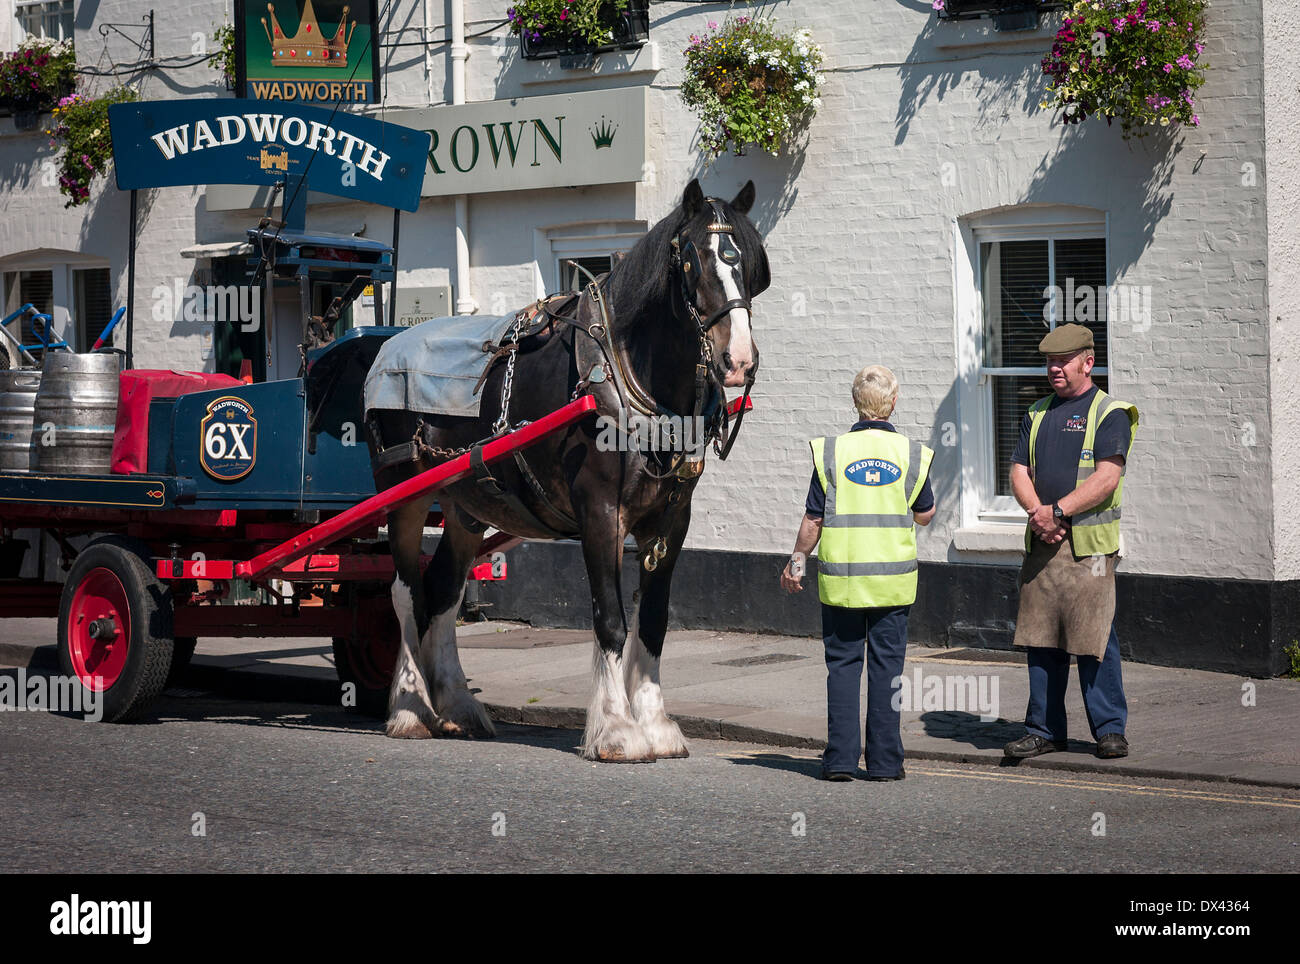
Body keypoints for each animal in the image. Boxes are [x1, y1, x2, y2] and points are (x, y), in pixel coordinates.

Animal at [366, 181, 764, 763]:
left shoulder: (672, 520)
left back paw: (457, 706)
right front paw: (616, 728)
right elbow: (610, 618)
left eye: (752, 265)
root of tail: (388, 345)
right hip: (404, 494)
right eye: (692, 261)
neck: (628, 373)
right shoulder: (599, 511)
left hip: (465, 503)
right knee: (404, 590)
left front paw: (655, 724)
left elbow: (653, 620)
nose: (737, 361)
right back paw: (409, 709)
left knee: (442, 591)